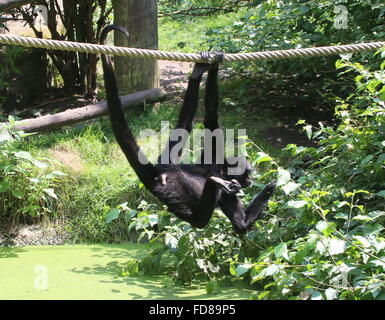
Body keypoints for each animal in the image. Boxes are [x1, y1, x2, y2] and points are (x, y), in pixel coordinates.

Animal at [99, 25, 272, 234]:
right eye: (249, 173)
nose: (251, 180)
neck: (223, 170)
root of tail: (160, 174)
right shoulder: (218, 164)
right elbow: (211, 118)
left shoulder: (224, 183)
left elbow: (242, 224)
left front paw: (270, 186)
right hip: (171, 191)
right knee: (198, 219)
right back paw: (214, 183)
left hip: (167, 163)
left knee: (183, 128)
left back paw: (197, 73)